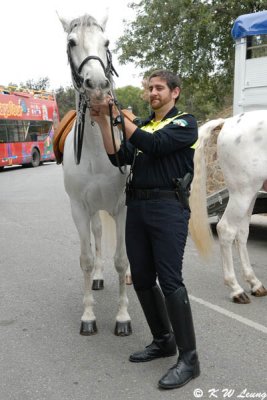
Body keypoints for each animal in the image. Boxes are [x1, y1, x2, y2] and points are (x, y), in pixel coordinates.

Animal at [191, 109, 267, 304]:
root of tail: (228, 122)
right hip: (243, 192)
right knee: (226, 230)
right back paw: (236, 289)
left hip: (250, 193)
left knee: (241, 232)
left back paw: (254, 283)